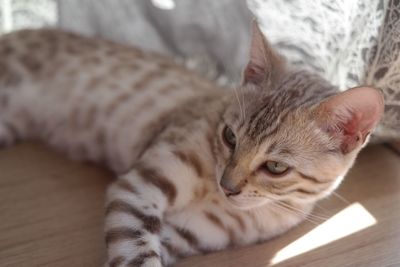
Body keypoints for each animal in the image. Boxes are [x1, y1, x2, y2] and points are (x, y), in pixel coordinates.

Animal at [0, 22, 382, 266]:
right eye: (230, 137)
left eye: (275, 167)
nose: (227, 186)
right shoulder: (138, 187)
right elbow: (136, 253)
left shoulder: (188, 233)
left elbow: (152, 249)